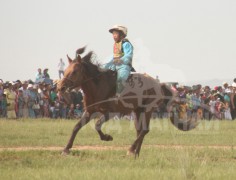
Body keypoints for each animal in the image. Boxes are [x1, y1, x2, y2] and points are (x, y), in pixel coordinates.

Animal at [57, 46, 199, 158]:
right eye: (65, 71)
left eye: (74, 71)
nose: (60, 87)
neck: (99, 86)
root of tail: (159, 84)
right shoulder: (89, 111)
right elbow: (76, 127)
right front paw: (66, 149)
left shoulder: (111, 113)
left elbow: (97, 125)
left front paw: (107, 137)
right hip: (137, 111)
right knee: (139, 130)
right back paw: (136, 153)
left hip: (147, 109)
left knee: (144, 130)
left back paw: (131, 150)